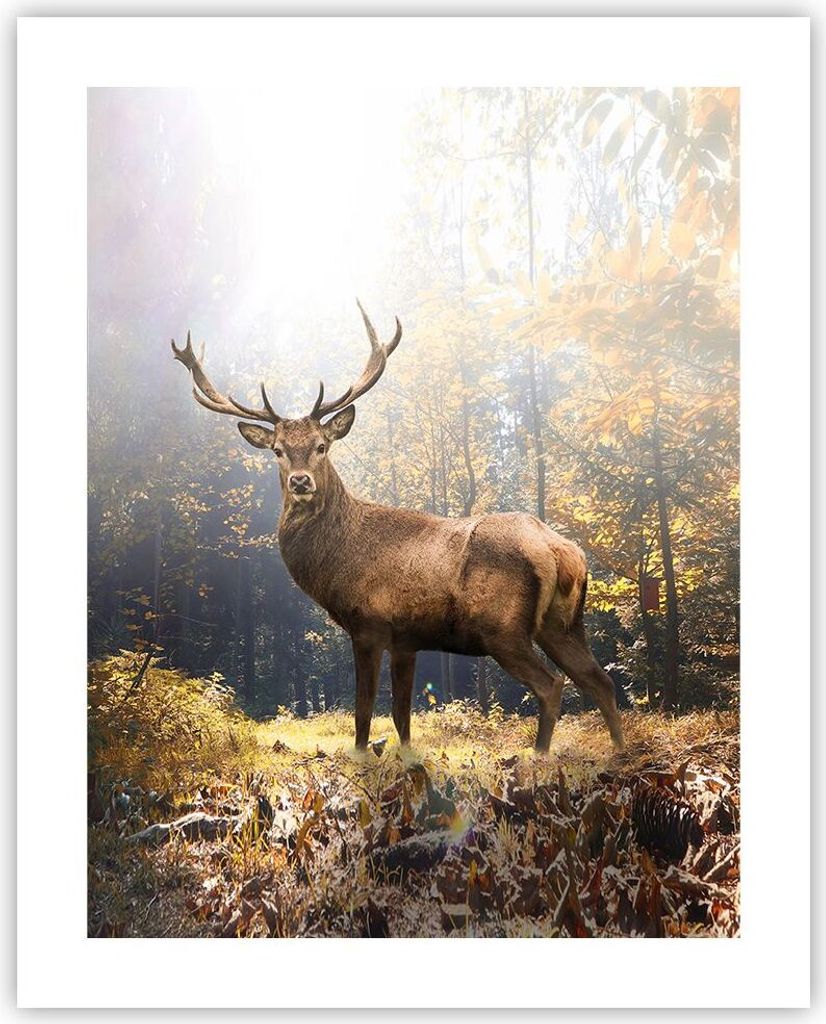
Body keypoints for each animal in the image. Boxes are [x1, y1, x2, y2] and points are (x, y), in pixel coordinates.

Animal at [172, 303, 625, 754]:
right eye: (278, 451)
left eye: (322, 445)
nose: (301, 481)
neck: (336, 562)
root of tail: (560, 550)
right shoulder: (407, 638)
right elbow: (402, 714)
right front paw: (406, 758)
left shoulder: (368, 623)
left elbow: (363, 710)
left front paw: (361, 756)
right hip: (563, 623)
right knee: (601, 680)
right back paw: (619, 750)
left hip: (503, 627)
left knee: (553, 685)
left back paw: (539, 755)